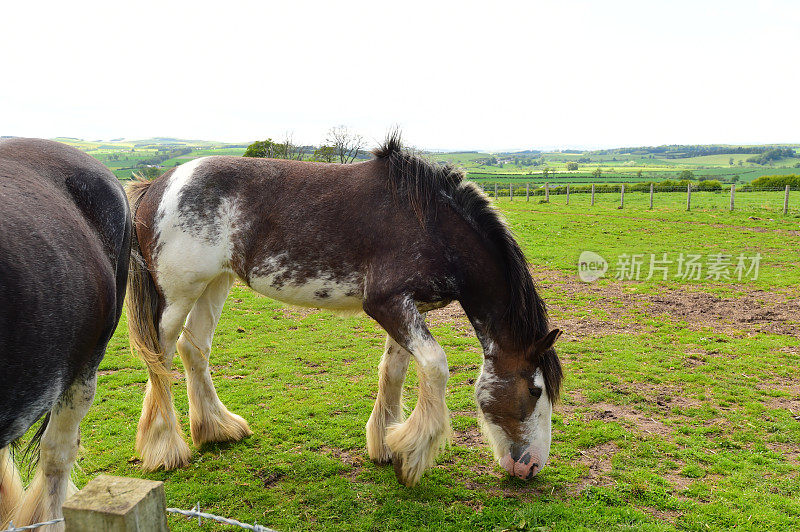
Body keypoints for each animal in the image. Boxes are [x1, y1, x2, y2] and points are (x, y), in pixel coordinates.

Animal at [125, 135, 564, 488]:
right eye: (534, 390)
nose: (531, 467)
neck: (430, 224)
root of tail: (156, 185)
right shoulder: (387, 304)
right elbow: (436, 366)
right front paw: (412, 455)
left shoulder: (408, 308)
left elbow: (395, 371)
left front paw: (387, 444)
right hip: (177, 294)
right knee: (161, 357)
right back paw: (165, 449)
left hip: (215, 283)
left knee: (194, 349)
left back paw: (217, 429)